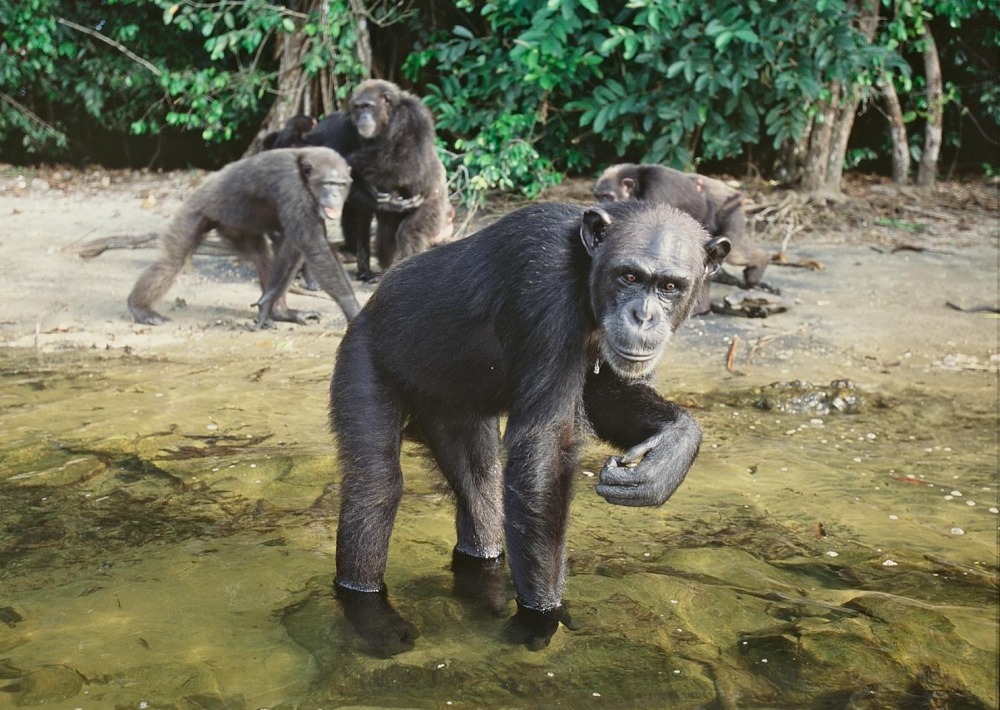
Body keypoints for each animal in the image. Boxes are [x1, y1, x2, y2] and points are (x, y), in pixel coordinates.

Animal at [126, 149, 360, 330]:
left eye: (340, 185)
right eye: (328, 183)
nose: (335, 195)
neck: (303, 174)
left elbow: (295, 246)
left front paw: (268, 305)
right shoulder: (290, 185)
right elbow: (315, 248)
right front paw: (353, 310)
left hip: (235, 228)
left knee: (263, 258)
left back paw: (281, 312)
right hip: (193, 213)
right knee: (171, 261)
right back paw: (140, 309)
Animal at [332, 199, 732, 656]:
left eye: (669, 286)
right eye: (629, 276)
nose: (643, 316)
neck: (585, 268)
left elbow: (607, 394)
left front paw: (670, 453)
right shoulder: (543, 284)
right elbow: (545, 447)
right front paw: (542, 616)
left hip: (453, 410)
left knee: (479, 486)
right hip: (363, 354)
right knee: (376, 485)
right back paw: (370, 614)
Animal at [592, 165, 772, 316]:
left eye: (608, 196)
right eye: (599, 196)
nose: (602, 204)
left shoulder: (657, 193)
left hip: (730, 211)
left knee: (737, 252)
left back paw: (759, 266)